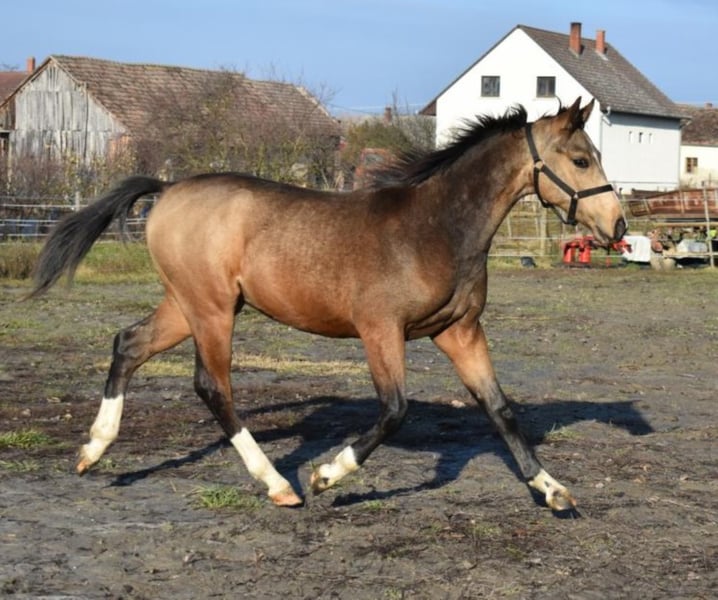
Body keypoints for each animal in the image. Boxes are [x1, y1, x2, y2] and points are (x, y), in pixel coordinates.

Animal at [29, 98, 626, 512]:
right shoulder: (381, 330)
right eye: (580, 159)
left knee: (128, 344)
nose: (617, 226)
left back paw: (93, 451)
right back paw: (279, 485)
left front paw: (552, 490)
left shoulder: (459, 330)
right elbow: (394, 410)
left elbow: (500, 409)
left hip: (187, 305)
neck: (435, 228)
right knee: (212, 386)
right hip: (212, 310)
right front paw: (326, 475)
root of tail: (170, 188)